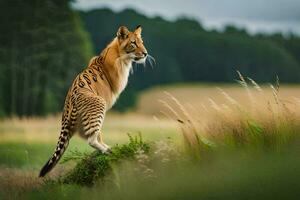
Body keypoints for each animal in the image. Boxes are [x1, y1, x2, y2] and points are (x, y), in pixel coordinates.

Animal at [39, 25, 151, 177]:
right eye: (133, 43)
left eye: (142, 42)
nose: (145, 53)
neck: (120, 54)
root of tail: (68, 106)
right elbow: (99, 132)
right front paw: (106, 147)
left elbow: (99, 132)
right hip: (98, 103)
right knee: (91, 139)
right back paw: (107, 150)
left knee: (86, 135)